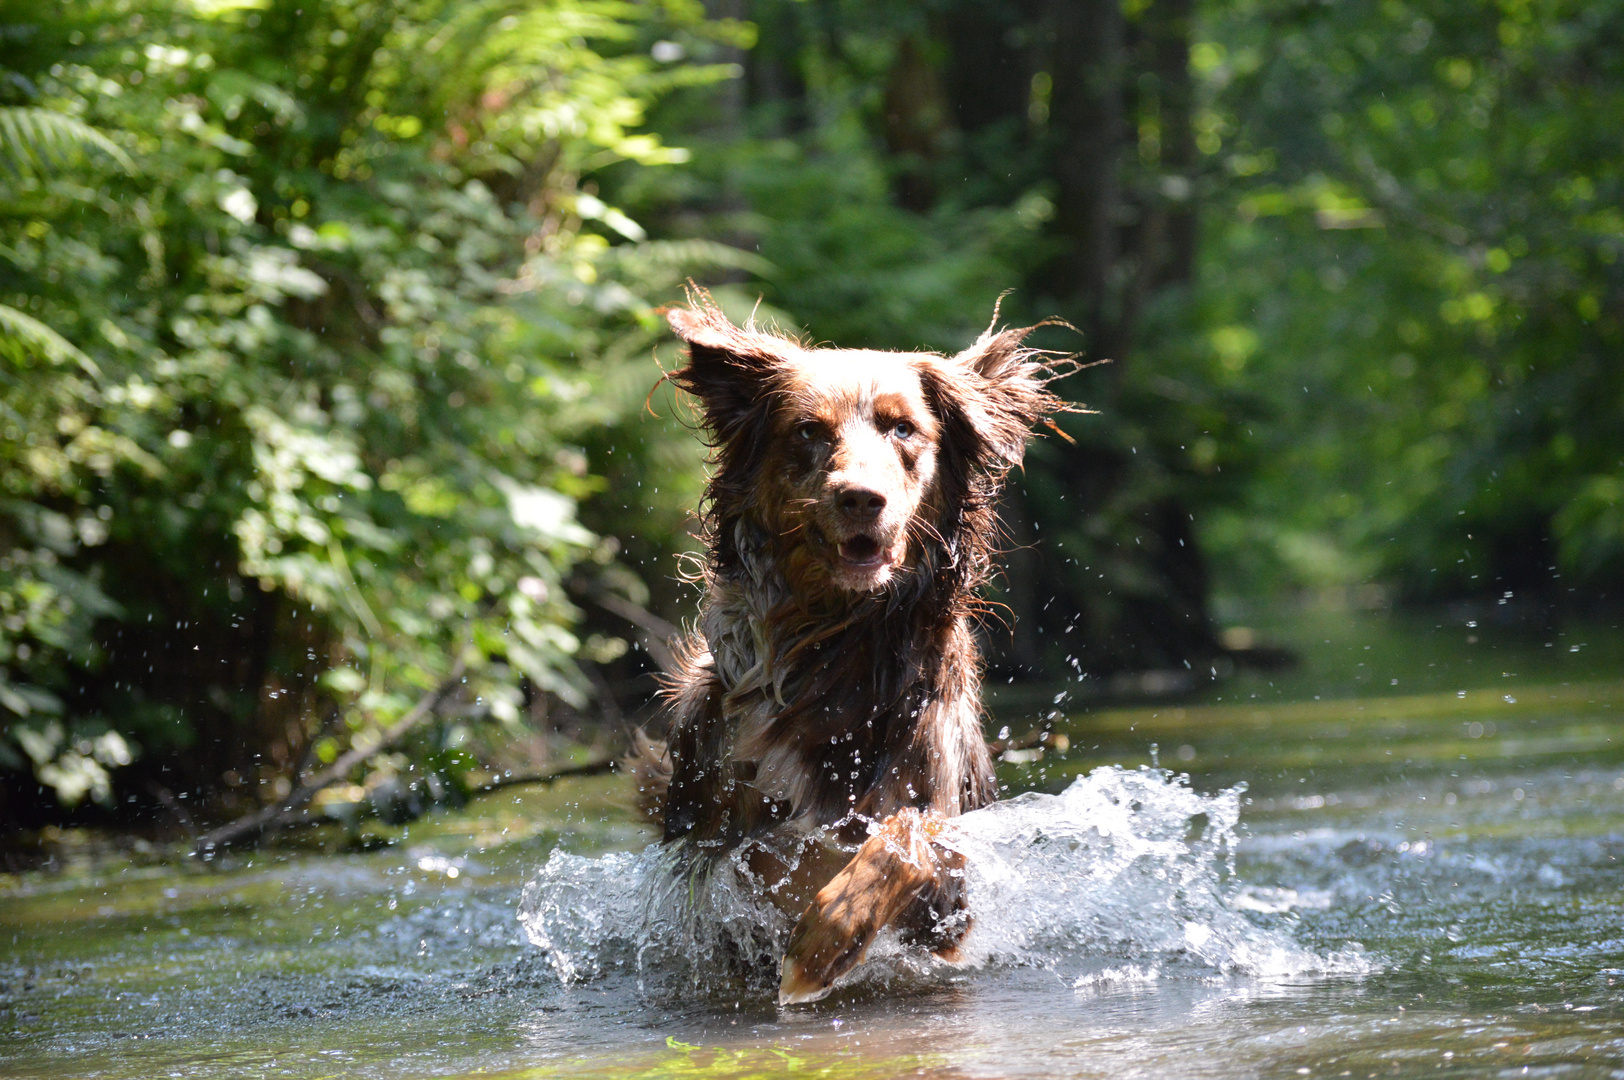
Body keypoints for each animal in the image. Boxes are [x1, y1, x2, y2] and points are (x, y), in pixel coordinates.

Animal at [633, 289, 1065, 1000]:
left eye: (903, 429)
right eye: (809, 431)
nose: (863, 499)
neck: (836, 645)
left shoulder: (946, 881)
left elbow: (903, 838)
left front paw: (823, 942)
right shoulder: (712, 824)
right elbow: (759, 851)